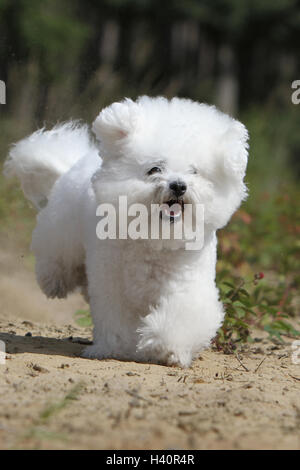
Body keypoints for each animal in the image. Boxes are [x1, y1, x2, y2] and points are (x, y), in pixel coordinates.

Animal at [4, 95, 248, 368]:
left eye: (194, 171)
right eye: (155, 169)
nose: (178, 186)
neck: (154, 238)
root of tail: (77, 161)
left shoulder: (187, 282)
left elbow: (182, 313)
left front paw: (165, 346)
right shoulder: (112, 282)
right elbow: (114, 316)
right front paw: (115, 348)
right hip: (62, 233)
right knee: (58, 259)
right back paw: (54, 281)